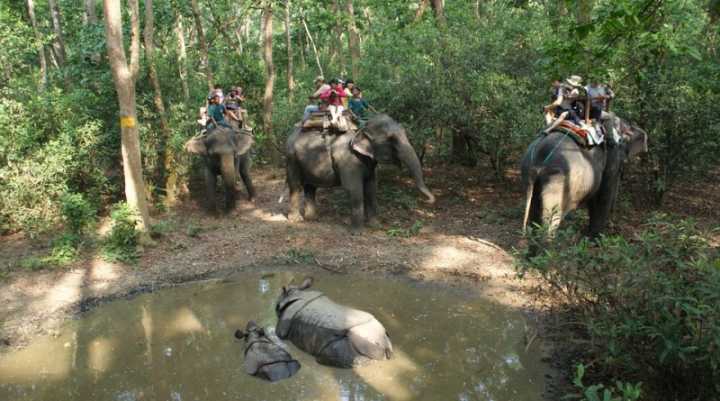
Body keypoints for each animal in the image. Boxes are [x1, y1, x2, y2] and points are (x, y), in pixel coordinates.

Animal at [286, 114, 434, 230]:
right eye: (391, 139)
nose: (429, 200)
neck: (361, 129)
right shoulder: (347, 159)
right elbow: (354, 188)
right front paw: (357, 231)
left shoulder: (369, 163)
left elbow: (371, 188)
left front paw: (375, 226)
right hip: (291, 158)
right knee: (295, 185)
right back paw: (296, 220)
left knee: (310, 187)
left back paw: (312, 218)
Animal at [520, 117, 648, 239]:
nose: (613, 224)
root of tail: (538, 159)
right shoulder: (612, 154)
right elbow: (603, 195)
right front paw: (596, 239)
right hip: (557, 180)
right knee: (552, 216)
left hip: (529, 174)